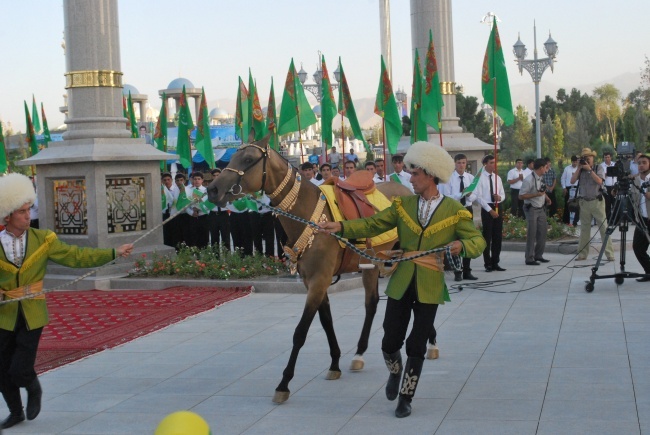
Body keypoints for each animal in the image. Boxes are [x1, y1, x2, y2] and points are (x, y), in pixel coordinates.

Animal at [208, 135, 410, 404]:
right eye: (231, 157)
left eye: (249, 159)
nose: (212, 189)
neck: (308, 216)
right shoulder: (313, 281)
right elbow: (326, 321)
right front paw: (334, 363)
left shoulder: (319, 280)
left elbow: (300, 332)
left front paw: (284, 383)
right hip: (371, 263)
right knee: (372, 303)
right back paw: (359, 354)